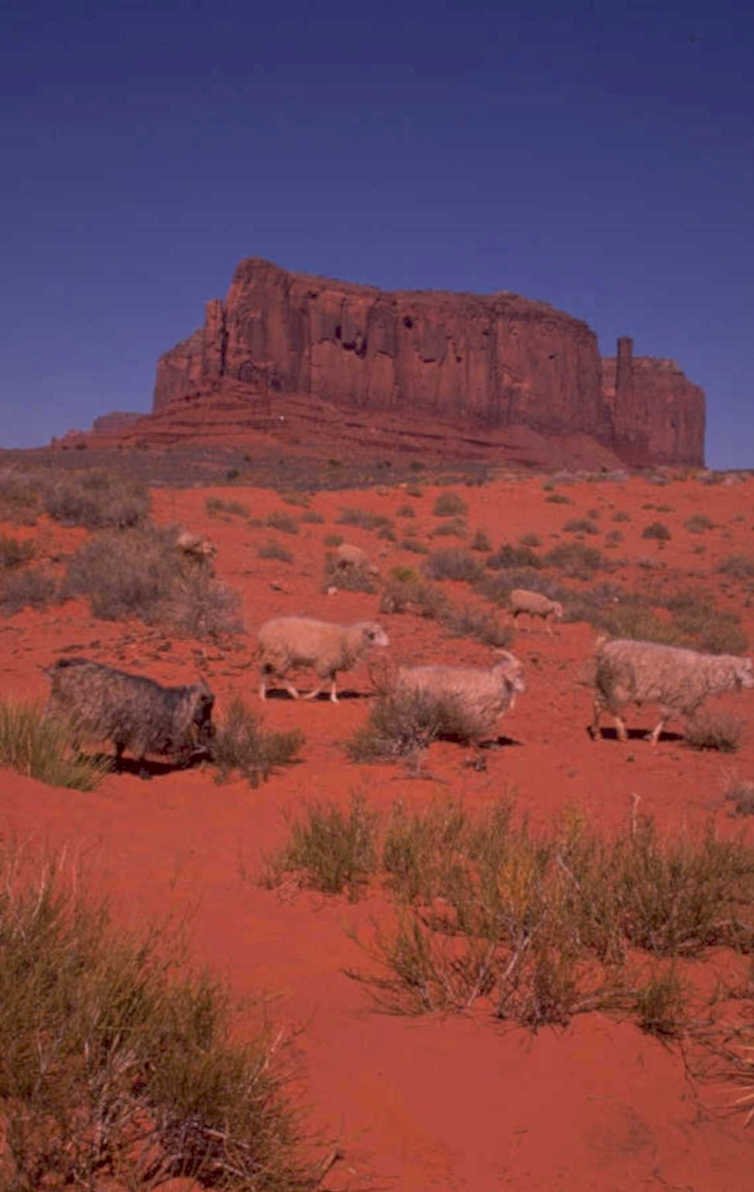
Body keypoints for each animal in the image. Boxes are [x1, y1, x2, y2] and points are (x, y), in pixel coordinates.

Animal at [46, 658, 215, 777]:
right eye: (206, 706)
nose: (209, 727)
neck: (170, 708)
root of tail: (60, 669)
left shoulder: (124, 730)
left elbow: (120, 750)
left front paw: (117, 767)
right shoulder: (141, 733)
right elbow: (140, 755)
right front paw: (144, 774)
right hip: (62, 710)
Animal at [257, 616, 389, 702]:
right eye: (376, 634)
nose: (388, 643)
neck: (346, 639)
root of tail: (263, 632)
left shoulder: (332, 665)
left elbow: (334, 680)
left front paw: (334, 698)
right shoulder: (324, 663)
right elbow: (325, 682)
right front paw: (310, 696)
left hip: (273, 655)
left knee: (265, 671)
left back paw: (263, 695)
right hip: (280, 655)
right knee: (279, 674)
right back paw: (294, 693)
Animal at [394, 649, 525, 746]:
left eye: (521, 674)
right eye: (518, 674)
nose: (524, 688)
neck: (497, 680)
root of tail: (404, 674)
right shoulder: (475, 708)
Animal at [590, 638, 754, 745]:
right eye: (748, 670)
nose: (752, 684)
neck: (707, 673)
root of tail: (603, 649)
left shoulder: (686, 700)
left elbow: (683, 718)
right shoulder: (679, 697)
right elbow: (667, 717)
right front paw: (654, 738)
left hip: (606, 684)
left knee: (597, 703)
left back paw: (597, 733)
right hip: (619, 685)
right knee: (612, 708)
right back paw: (621, 735)